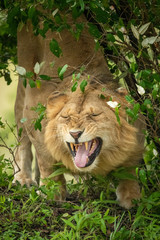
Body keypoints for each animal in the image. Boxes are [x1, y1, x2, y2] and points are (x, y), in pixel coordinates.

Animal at [13, 11, 146, 209]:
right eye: (66, 117)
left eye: (94, 114)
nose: (75, 134)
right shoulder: (32, 112)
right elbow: (46, 160)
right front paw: (52, 193)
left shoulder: (138, 127)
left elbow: (130, 167)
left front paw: (132, 198)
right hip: (26, 72)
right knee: (21, 136)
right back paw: (23, 179)